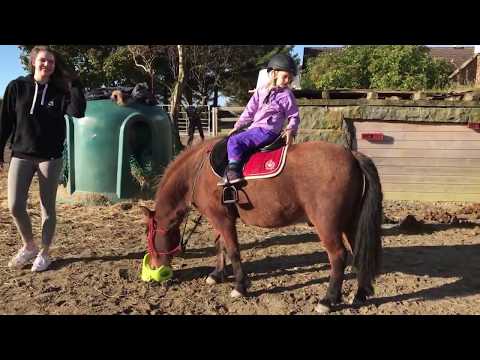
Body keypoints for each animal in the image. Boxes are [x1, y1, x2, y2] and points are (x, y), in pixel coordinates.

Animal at [140, 137, 382, 312]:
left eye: (149, 235)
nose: (154, 267)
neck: (197, 171)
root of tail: (351, 155)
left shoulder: (222, 219)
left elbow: (233, 250)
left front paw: (239, 287)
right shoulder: (219, 219)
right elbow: (220, 245)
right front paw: (217, 275)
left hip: (328, 226)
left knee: (339, 256)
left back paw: (328, 300)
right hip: (350, 222)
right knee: (359, 252)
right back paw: (360, 294)